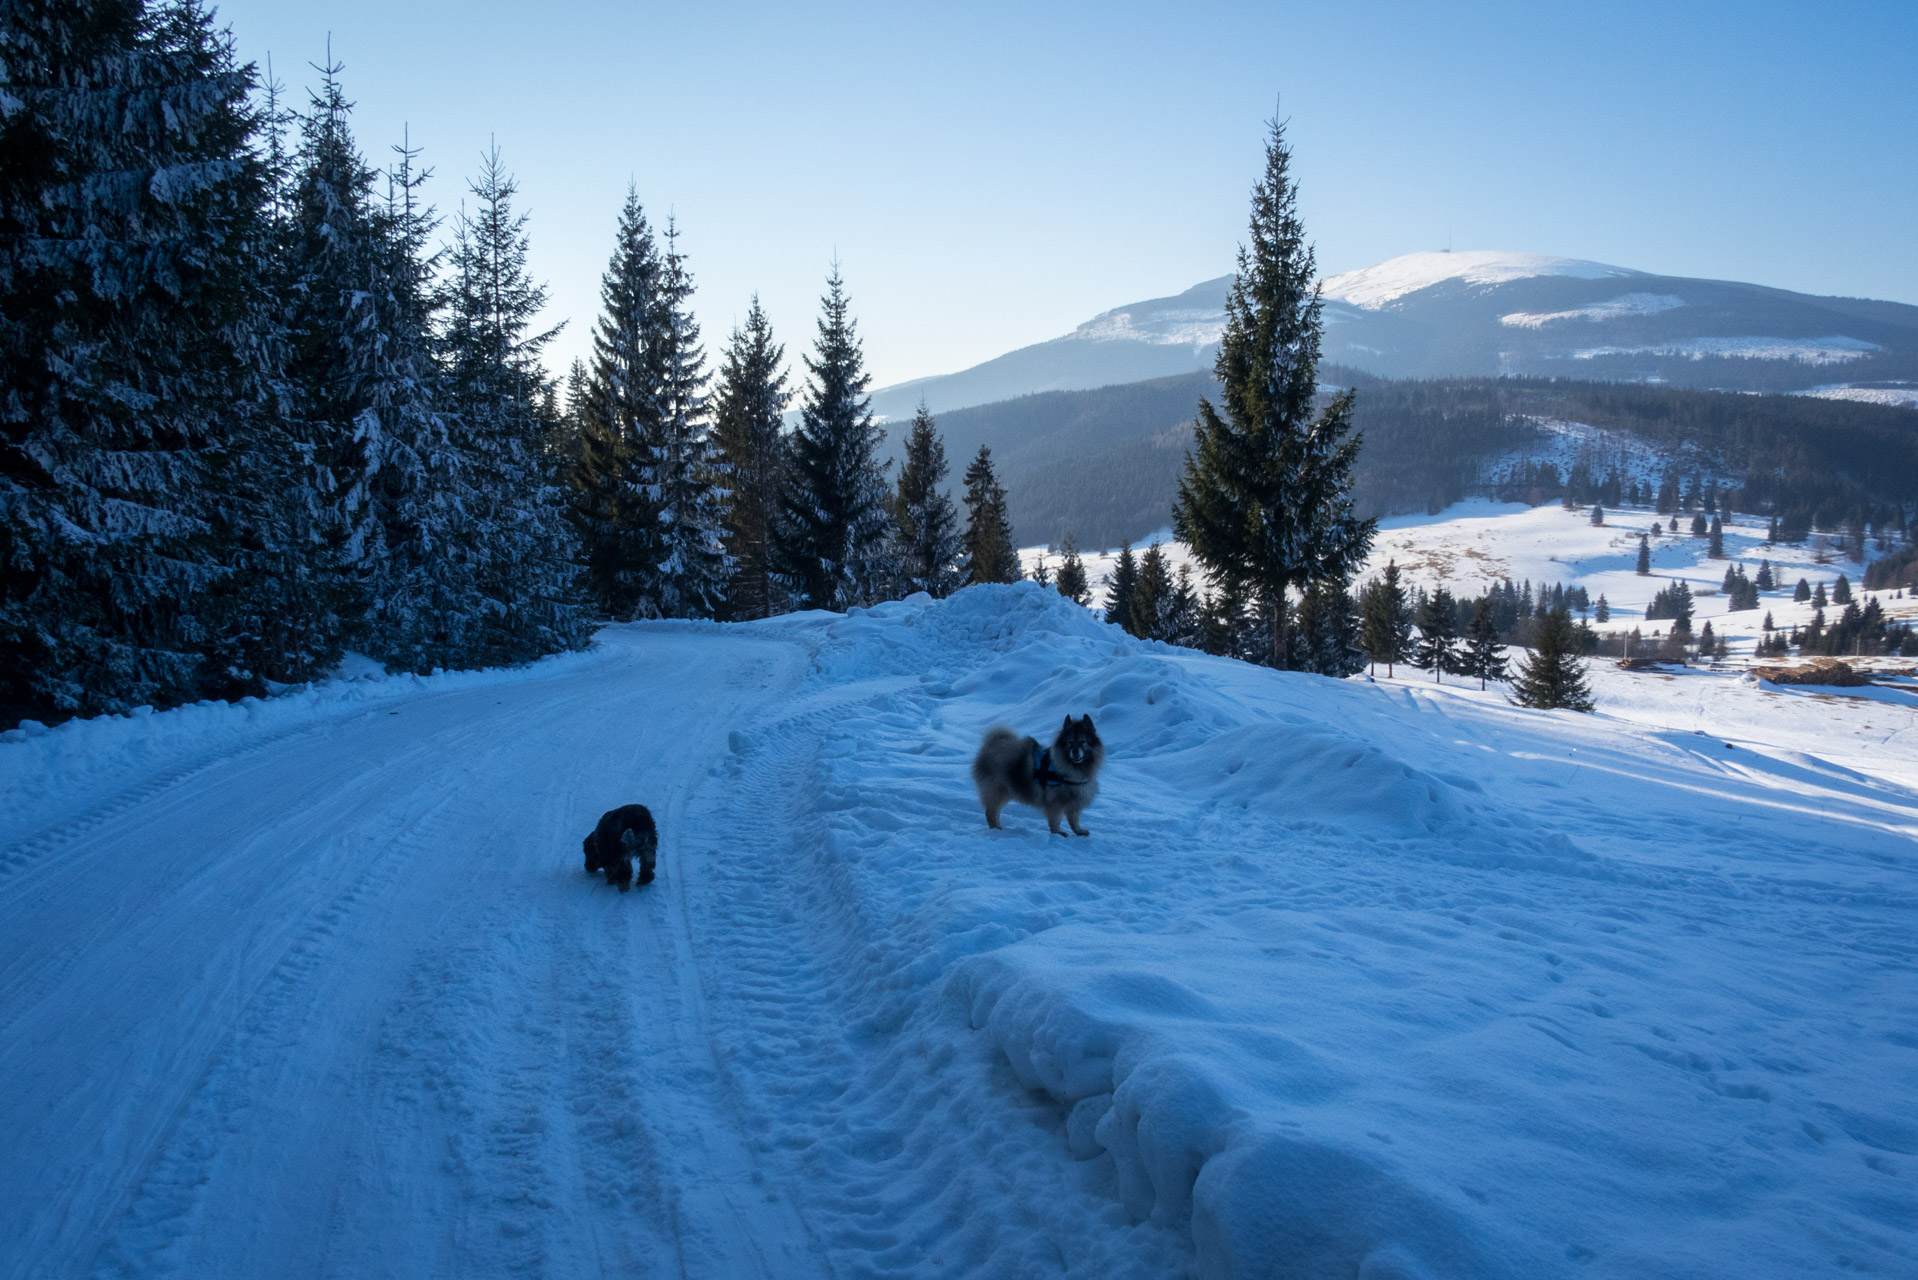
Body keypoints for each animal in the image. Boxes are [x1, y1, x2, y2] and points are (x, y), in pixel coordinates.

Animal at [974, 717, 1112, 836]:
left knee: (995, 812)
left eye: (1083, 741)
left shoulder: (1074, 801)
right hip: (998, 790)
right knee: (991, 812)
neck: (1072, 769)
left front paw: (1079, 831)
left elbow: (1074, 820)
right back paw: (996, 829)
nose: (1075, 751)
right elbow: (1056, 820)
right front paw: (1058, 833)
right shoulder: (1055, 802)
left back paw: (999, 827)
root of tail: (991, 745)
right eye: (1069, 742)